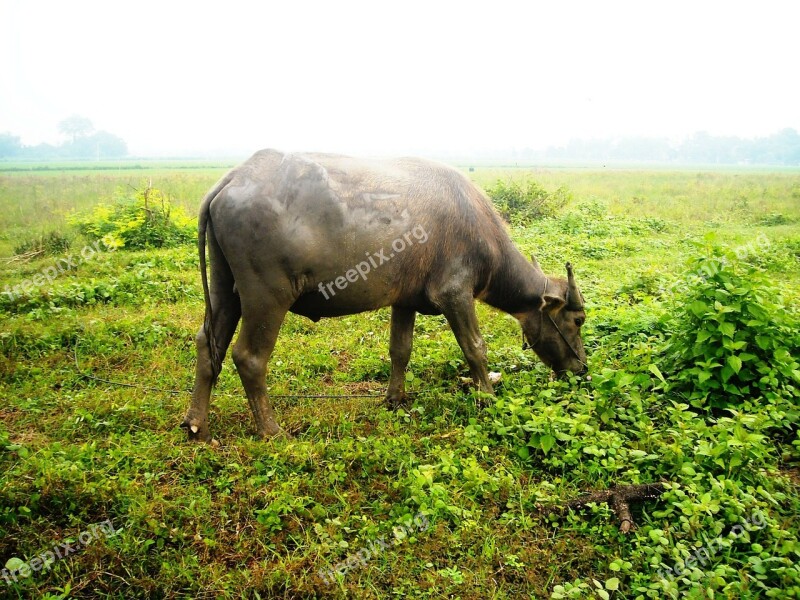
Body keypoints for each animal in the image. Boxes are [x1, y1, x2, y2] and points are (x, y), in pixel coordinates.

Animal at [184, 150, 592, 440]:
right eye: (577, 319)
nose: (582, 370)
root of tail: (234, 177)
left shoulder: (405, 300)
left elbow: (400, 349)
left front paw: (395, 399)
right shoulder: (455, 294)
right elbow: (475, 348)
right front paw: (488, 397)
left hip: (225, 287)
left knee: (208, 344)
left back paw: (196, 425)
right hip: (267, 296)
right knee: (249, 357)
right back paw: (270, 430)